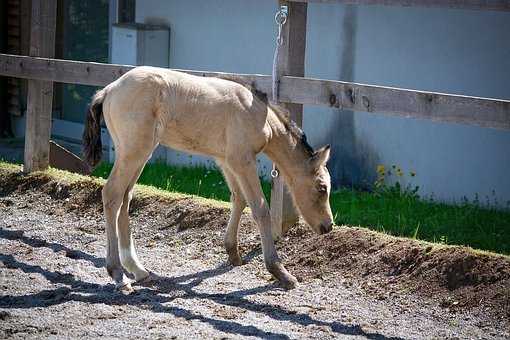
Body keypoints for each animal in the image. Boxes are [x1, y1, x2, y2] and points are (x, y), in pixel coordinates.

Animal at [82, 66, 334, 292]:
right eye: (322, 188)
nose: (328, 226)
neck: (260, 116)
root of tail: (109, 90)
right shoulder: (242, 160)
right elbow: (260, 209)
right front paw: (280, 272)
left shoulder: (226, 161)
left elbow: (239, 199)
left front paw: (233, 253)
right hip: (134, 151)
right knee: (112, 194)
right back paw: (118, 274)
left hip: (140, 153)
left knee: (125, 197)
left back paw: (138, 270)